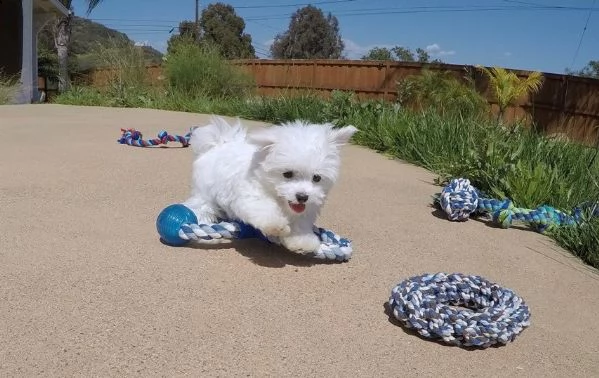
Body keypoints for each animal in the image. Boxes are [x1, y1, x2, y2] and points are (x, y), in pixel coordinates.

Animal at [183, 115, 358, 254]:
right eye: (287, 174)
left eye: (316, 178)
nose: (302, 196)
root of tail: (220, 143)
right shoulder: (252, 195)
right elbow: (265, 209)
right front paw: (276, 225)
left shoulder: (307, 208)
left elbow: (300, 222)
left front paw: (302, 240)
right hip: (205, 191)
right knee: (202, 207)